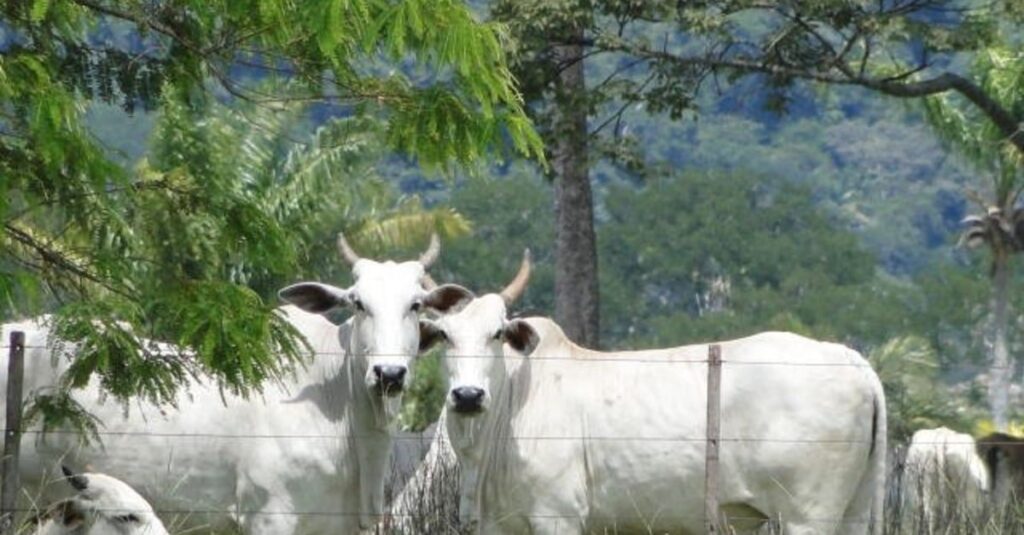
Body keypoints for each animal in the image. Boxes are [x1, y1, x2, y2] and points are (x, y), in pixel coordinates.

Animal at [415, 250, 888, 532]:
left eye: (497, 334)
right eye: (444, 336)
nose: (468, 396)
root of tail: (850, 358)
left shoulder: (558, 515)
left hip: (807, 516)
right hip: (853, 510)